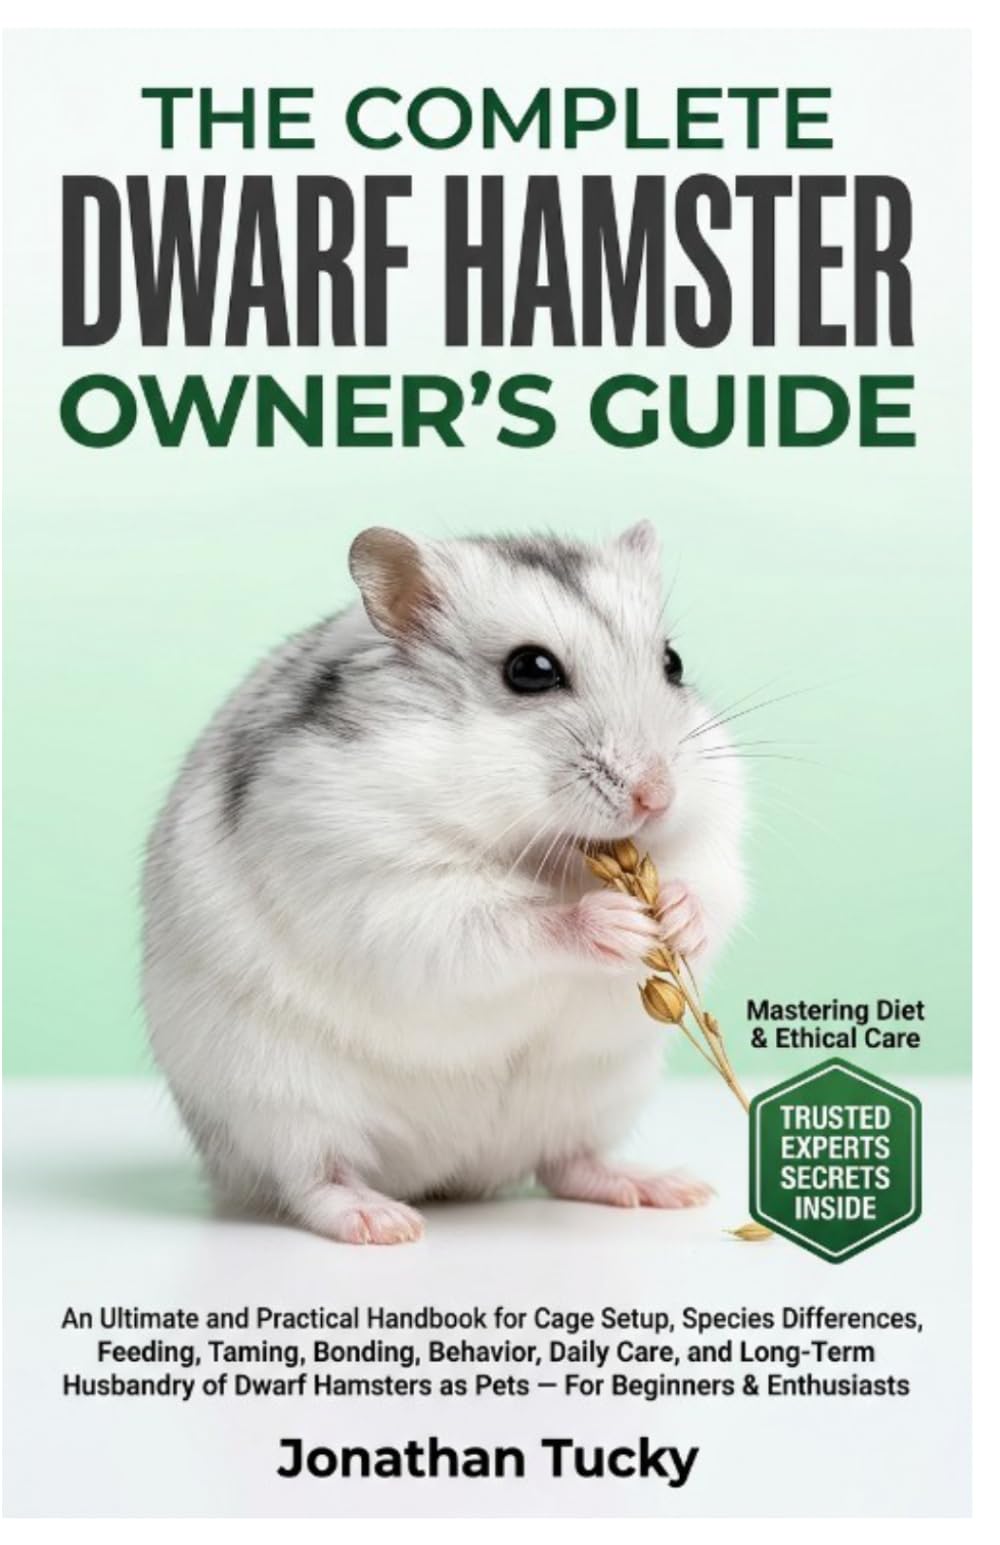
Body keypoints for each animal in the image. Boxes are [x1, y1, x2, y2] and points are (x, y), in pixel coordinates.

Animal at [142, 521, 746, 1244]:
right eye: (531, 670)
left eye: (673, 663)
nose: (657, 797)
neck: (553, 855)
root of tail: (446, 1173)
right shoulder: (386, 886)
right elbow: (508, 922)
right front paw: (617, 921)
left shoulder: (714, 835)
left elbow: (705, 882)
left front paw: (675, 915)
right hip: (277, 1103)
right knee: (314, 1179)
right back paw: (383, 1222)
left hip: (597, 1095)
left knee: (568, 1161)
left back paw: (668, 1188)